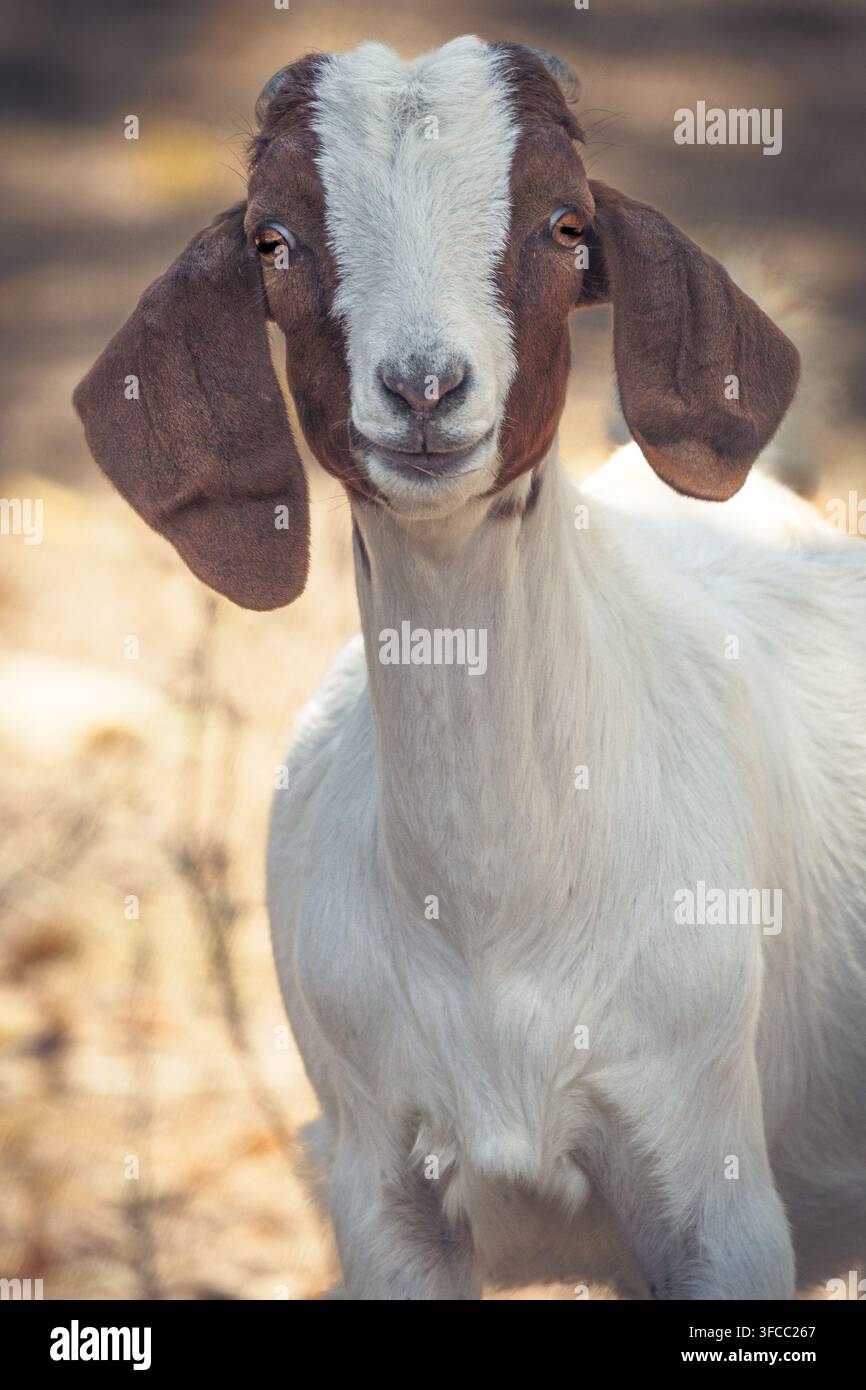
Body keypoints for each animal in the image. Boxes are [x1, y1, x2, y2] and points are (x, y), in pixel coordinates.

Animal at [74, 37, 866, 1300]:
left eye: (563, 223)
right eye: (272, 239)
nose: (424, 388)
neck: (498, 921)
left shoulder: (709, 1184)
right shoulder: (381, 1195)